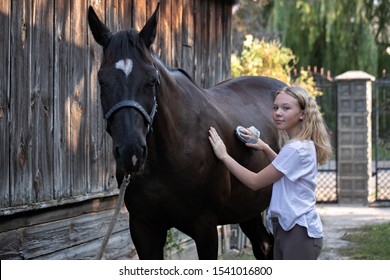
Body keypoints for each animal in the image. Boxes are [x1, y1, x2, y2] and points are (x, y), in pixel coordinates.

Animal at [88, 2, 286, 260]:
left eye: (152, 80)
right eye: (102, 80)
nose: (131, 153)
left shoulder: (205, 229)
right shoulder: (144, 228)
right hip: (248, 207)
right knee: (264, 245)